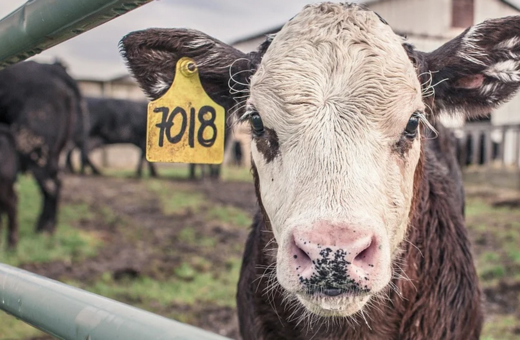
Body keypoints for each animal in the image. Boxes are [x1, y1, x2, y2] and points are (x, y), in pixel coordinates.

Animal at [0, 61, 86, 234]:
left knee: (50, 184)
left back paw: (44, 228)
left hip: (34, 146)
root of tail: (52, 68)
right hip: (56, 150)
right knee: (56, 181)